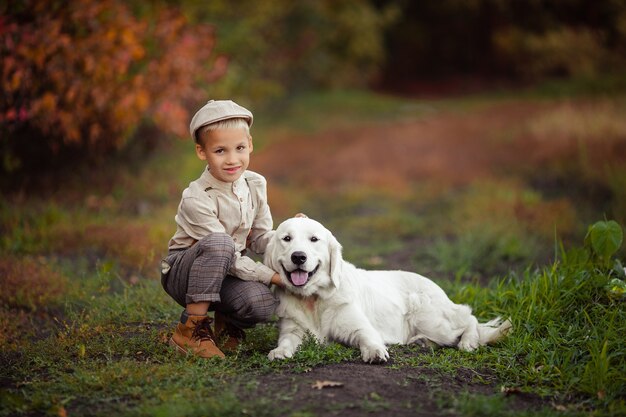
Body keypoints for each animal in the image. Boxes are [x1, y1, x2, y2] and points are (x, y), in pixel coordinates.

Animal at [264, 216, 512, 362]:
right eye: (286, 238)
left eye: (314, 239)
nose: (298, 256)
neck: (313, 298)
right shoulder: (292, 329)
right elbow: (286, 340)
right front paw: (279, 352)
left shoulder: (358, 326)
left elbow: (367, 336)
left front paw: (375, 351)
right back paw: (422, 342)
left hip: (432, 320)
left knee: (469, 318)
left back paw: (468, 342)